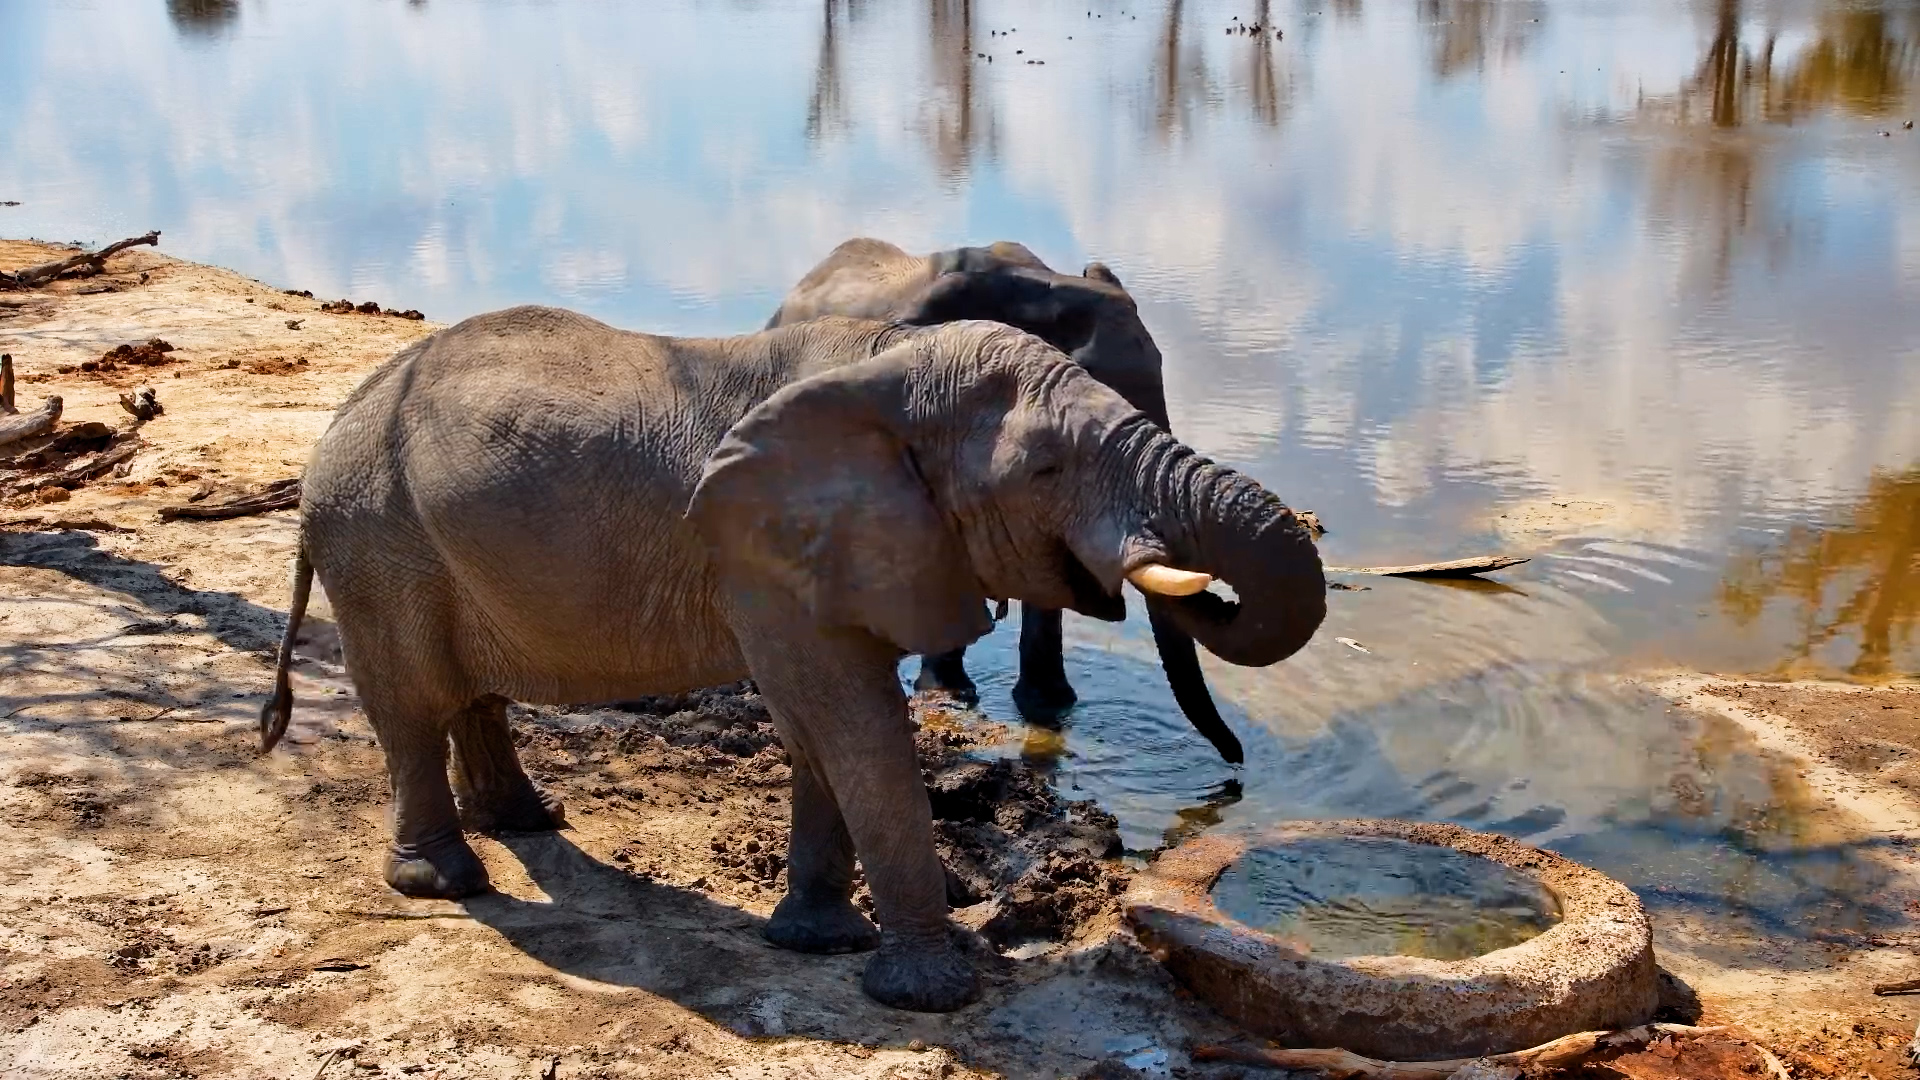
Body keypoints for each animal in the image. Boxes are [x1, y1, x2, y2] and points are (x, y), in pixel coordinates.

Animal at [259, 307, 1325, 1012]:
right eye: (1045, 470)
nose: (1235, 767)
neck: (884, 365)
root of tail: (334, 424)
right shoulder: (761, 552)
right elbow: (848, 717)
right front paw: (930, 994)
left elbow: (822, 729)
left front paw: (818, 941)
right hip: (377, 537)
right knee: (411, 706)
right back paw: (448, 881)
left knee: (467, 696)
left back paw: (526, 820)